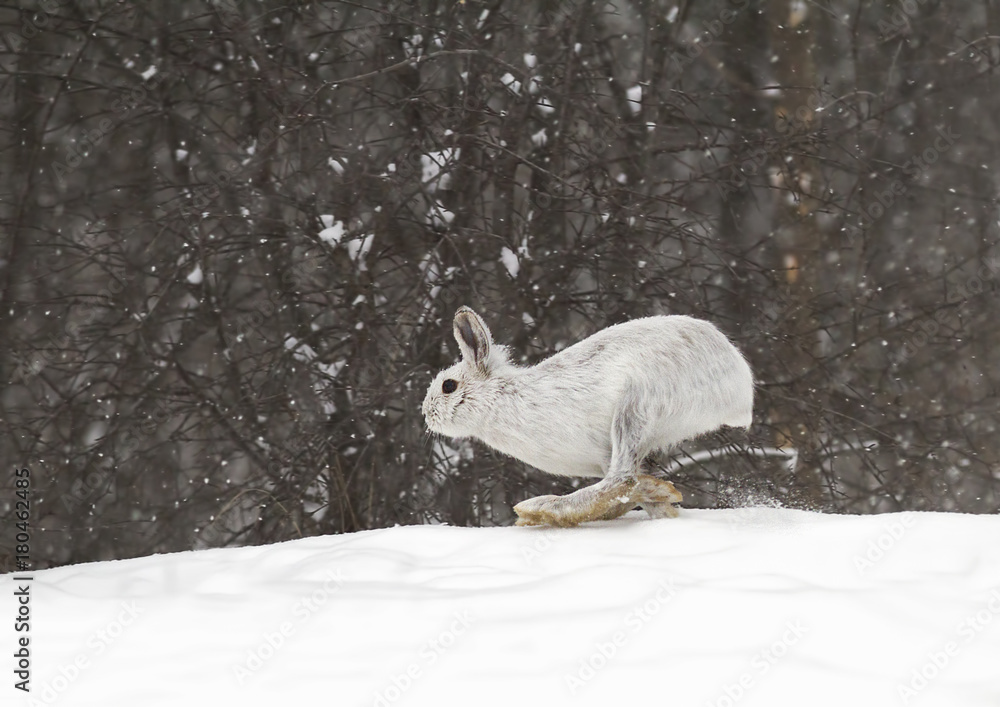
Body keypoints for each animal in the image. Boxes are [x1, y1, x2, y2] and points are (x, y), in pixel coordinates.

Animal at [422, 306, 754, 527]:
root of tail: (740, 384)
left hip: (636, 405)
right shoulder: (601, 456)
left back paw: (538, 509)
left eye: (448, 386)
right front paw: (665, 507)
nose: (427, 414)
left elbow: (624, 486)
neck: (501, 396)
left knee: (620, 477)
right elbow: (635, 494)